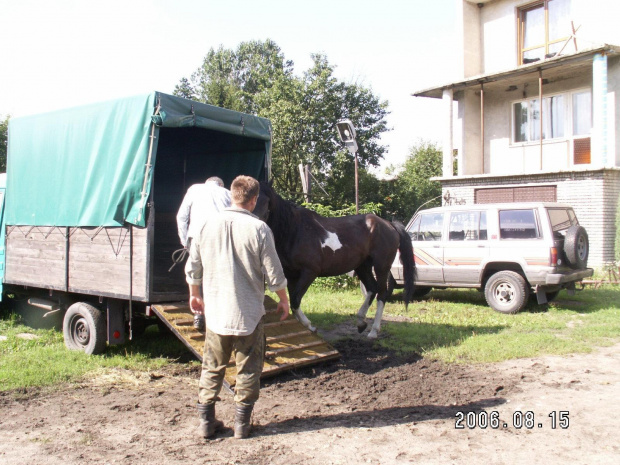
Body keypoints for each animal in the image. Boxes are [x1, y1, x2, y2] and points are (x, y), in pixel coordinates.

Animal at [254, 181, 414, 338]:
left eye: (266, 201)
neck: (294, 231)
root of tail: (389, 225)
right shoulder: (291, 275)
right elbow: (293, 303)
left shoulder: (309, 272)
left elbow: (295, 300)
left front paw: (310, 326)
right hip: (362, 266)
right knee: (372, 288)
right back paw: (361, 322)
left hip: (382, 266)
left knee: (382, 293)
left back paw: (373, 331)